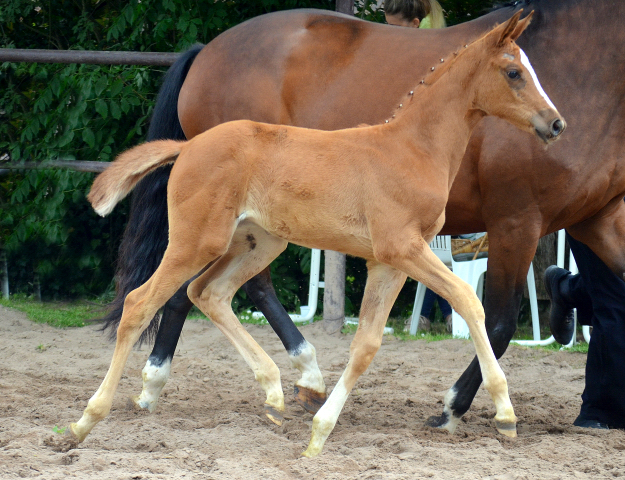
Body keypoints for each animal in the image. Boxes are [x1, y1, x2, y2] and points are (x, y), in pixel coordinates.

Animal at [72, 12, 560, 458]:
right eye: (513, 72)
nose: (555, 124)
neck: (412, 149)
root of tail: (188, 146)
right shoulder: (403, 248)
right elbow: (468, 300)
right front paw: (504, 413)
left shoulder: (388, 262)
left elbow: (366, 345)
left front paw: (320, 432)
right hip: (197, 241)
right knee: (141, 302)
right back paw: (86, 420)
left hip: (259, 242)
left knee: (207, 293)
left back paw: (274, 390)